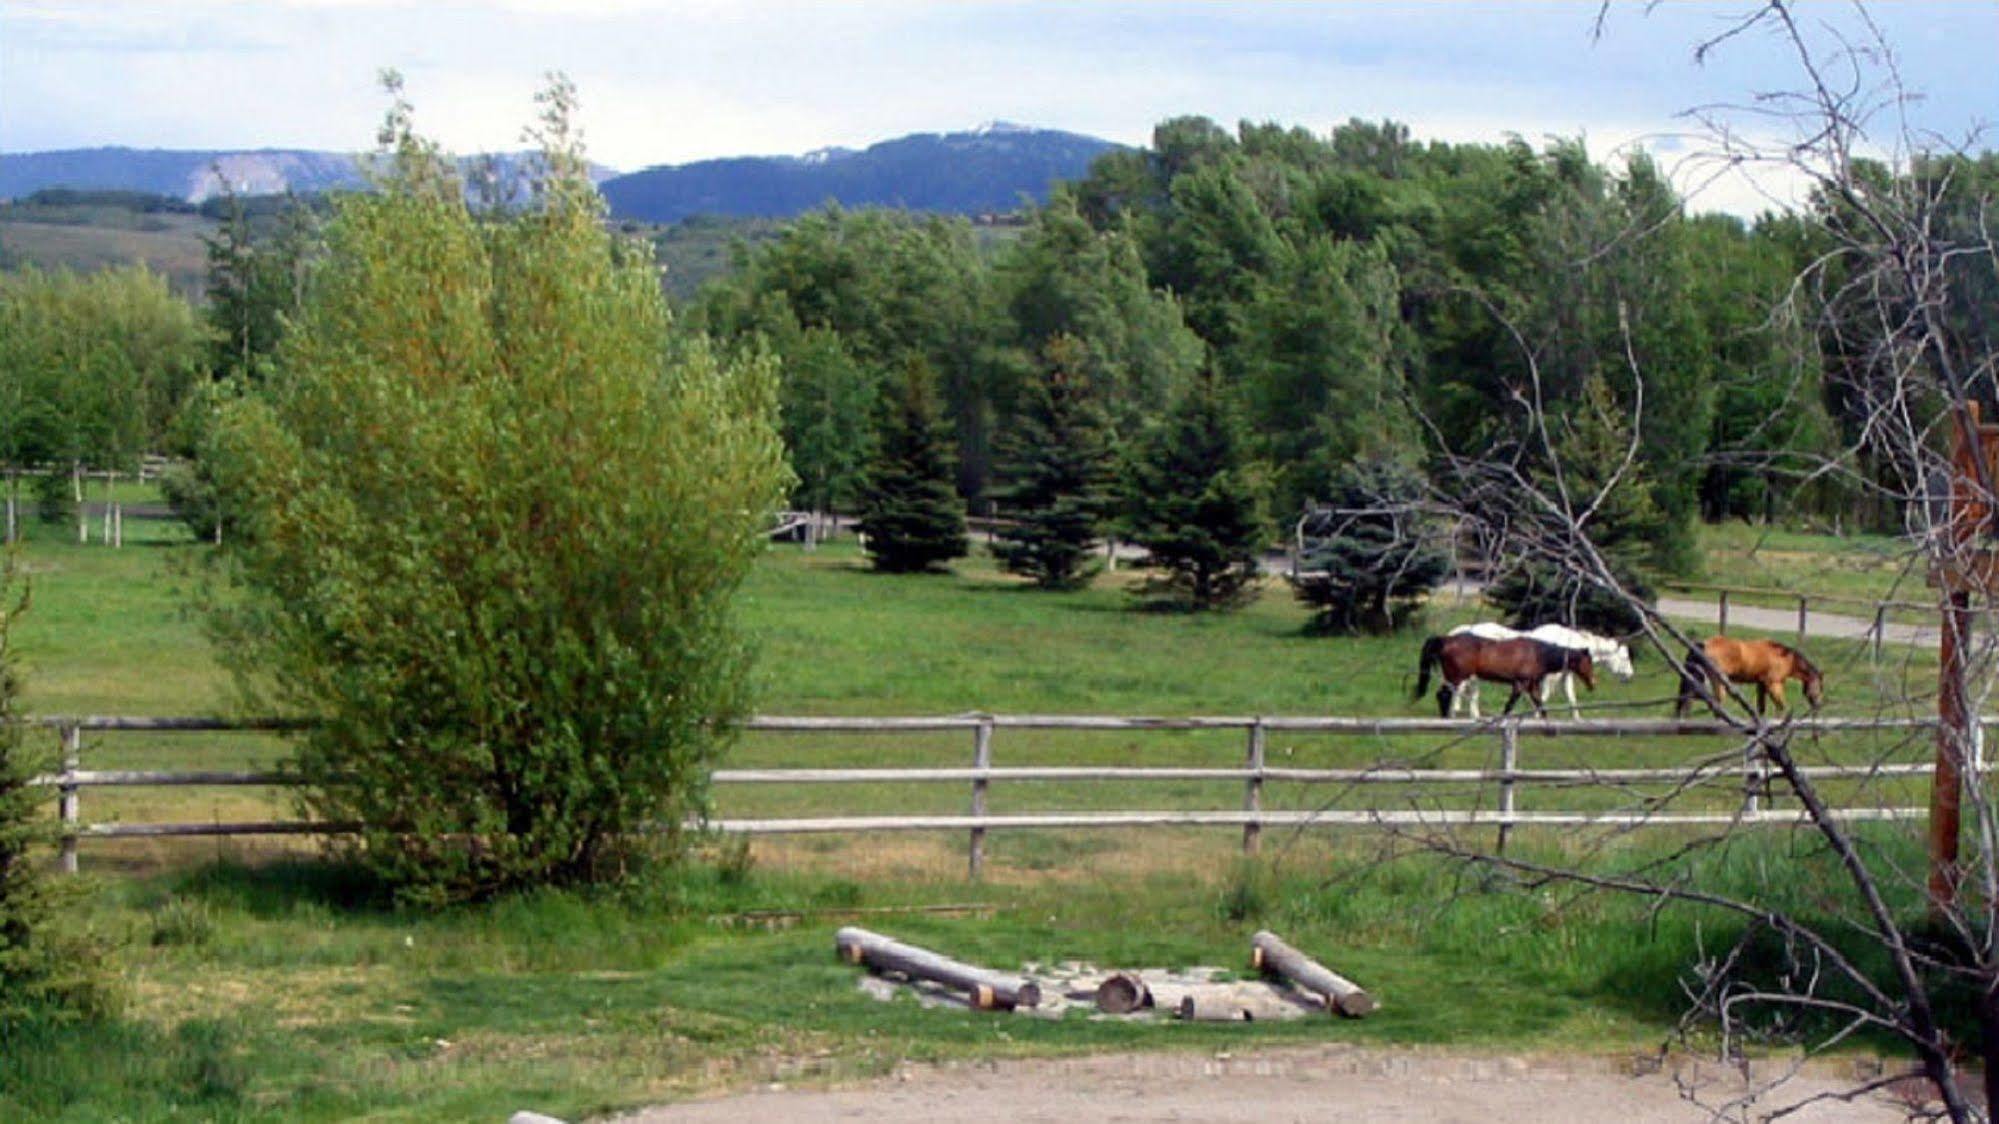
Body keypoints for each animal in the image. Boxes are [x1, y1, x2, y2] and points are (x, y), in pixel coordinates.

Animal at [1415, 632, 1599, 716]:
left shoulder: (1531, 686)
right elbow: (1509, 706)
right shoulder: (1519, 684)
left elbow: (1540, 706)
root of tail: (1446, 639)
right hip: (1456, 677)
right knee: (1442, 694)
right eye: (1588, 663)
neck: (1537, 654)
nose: (1593, 683)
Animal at [1671, 636, 1831, 712]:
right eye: (1820, 687)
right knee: (1716, 702)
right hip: (1717, 680)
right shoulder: (1774, 685)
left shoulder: (1761, 685)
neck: (1785, 658)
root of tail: (1703, 644)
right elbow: (1781, 706)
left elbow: (1761, 708)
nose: (1818, 704)